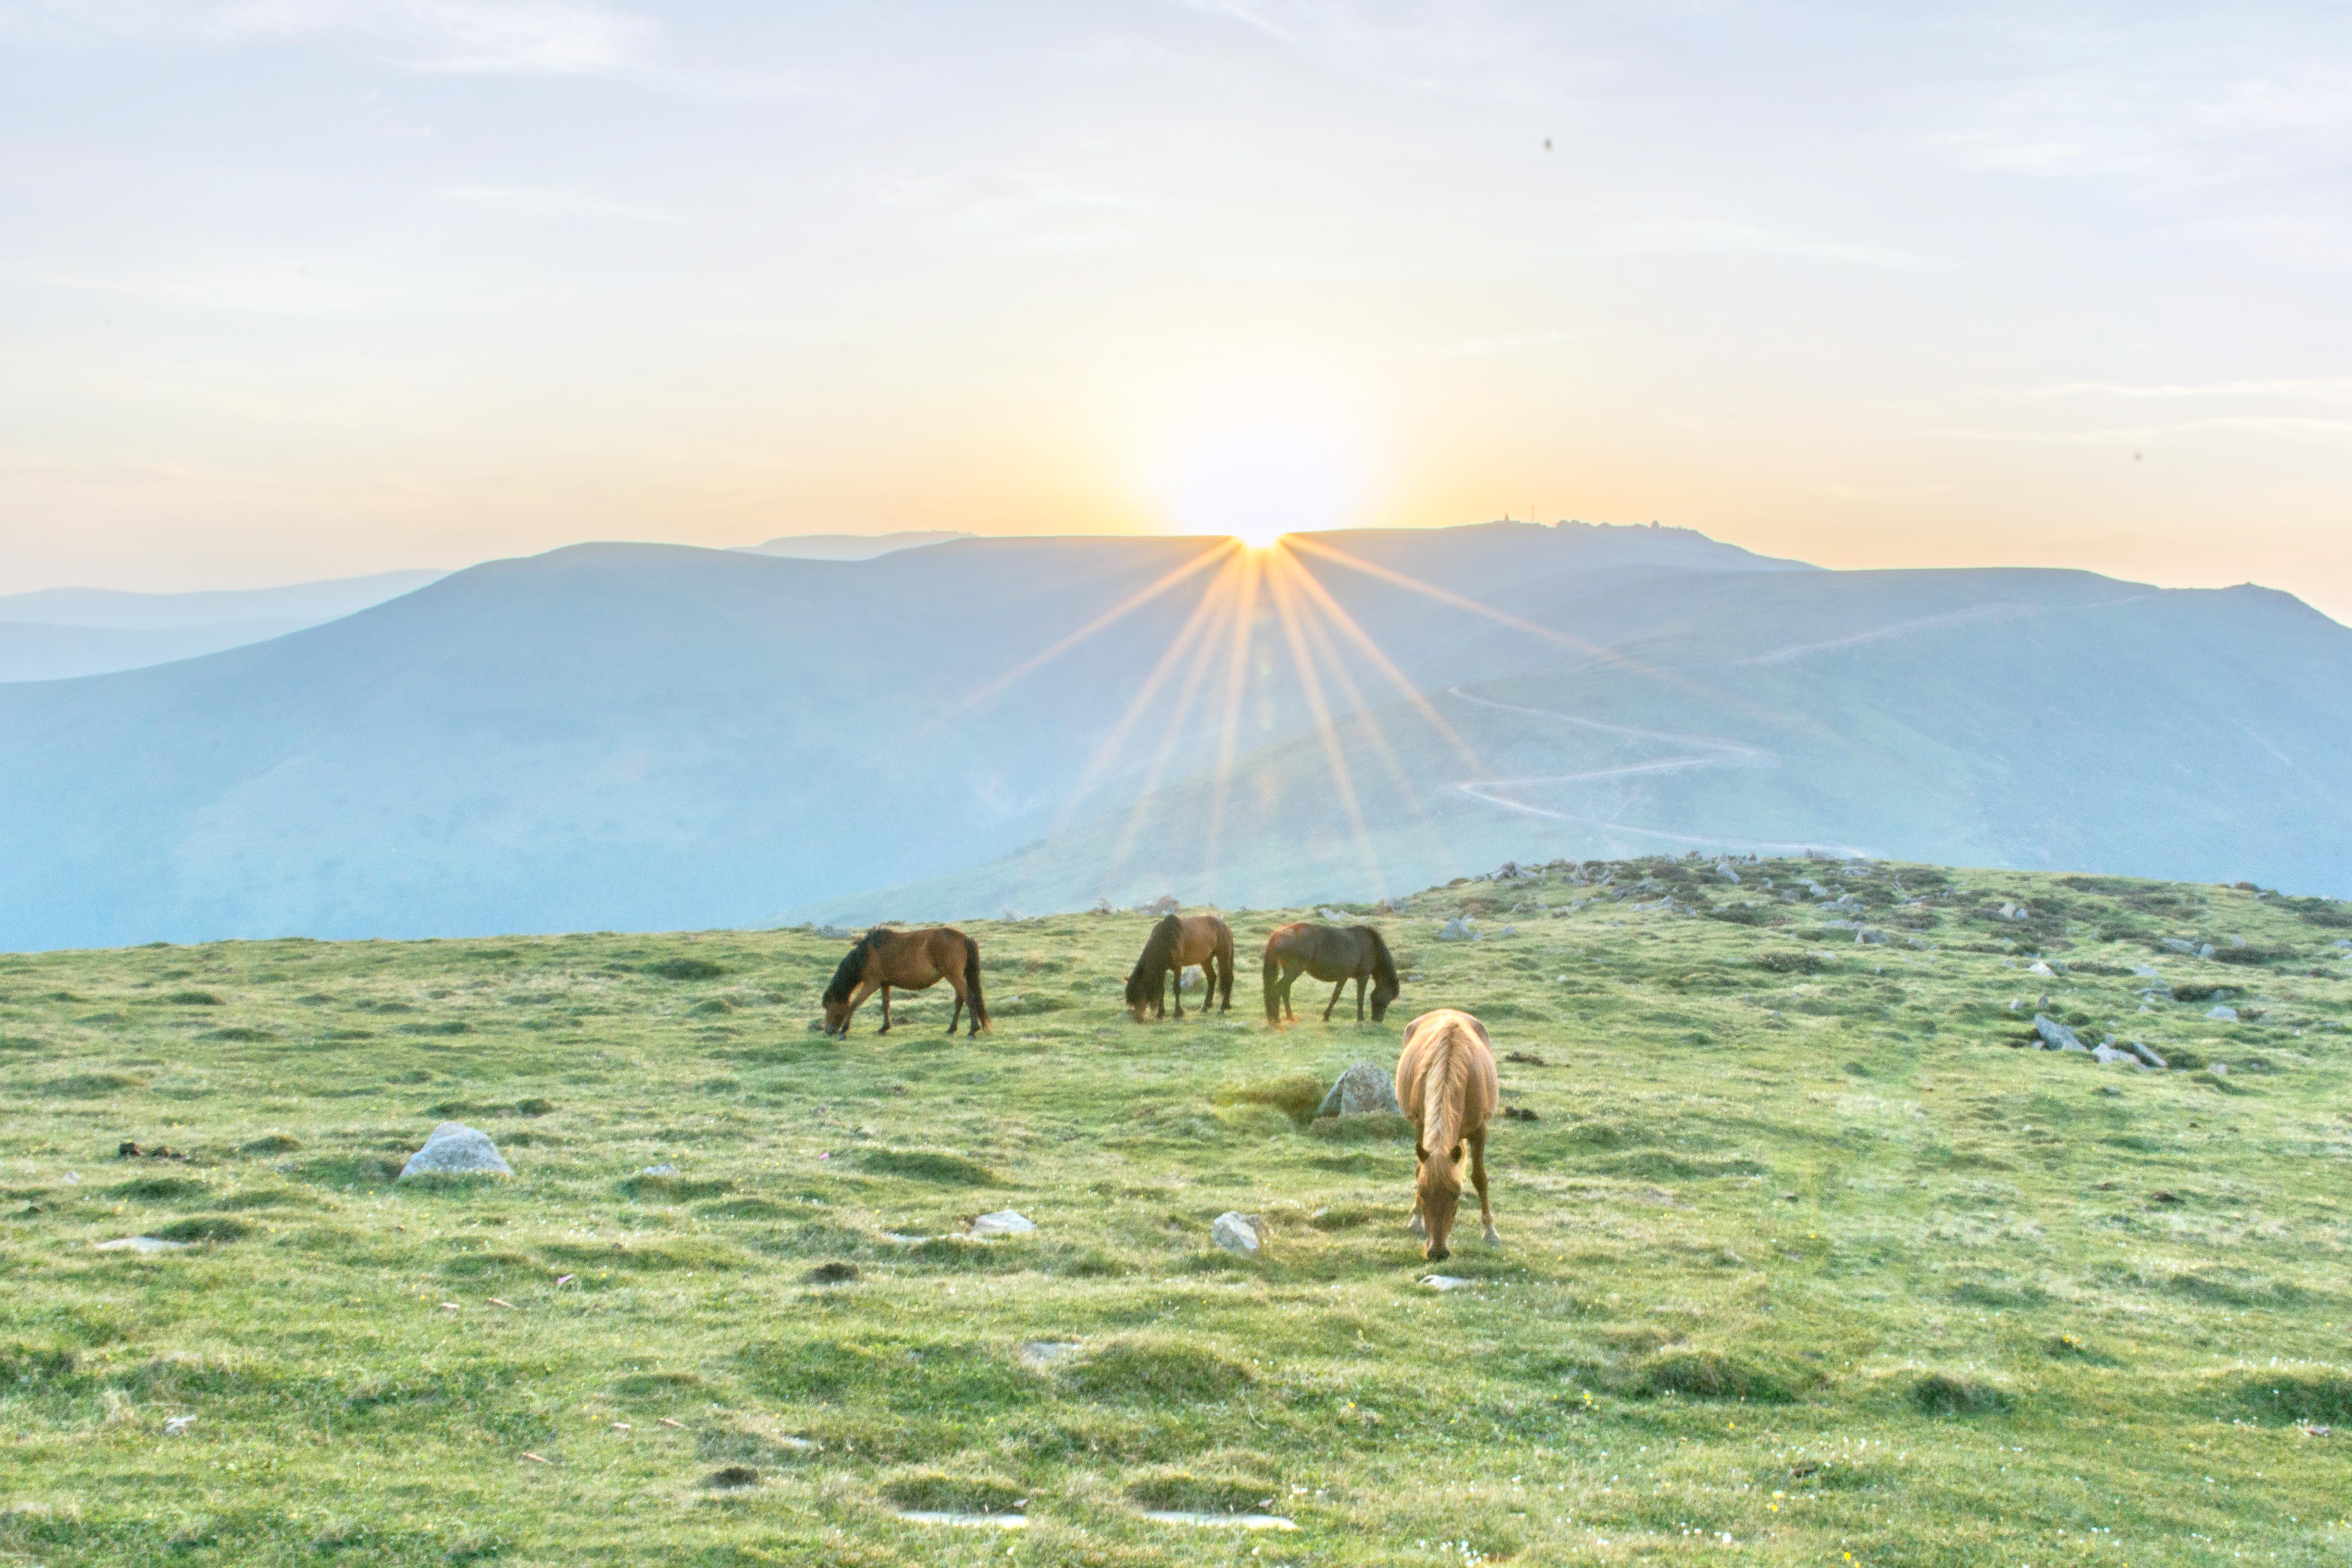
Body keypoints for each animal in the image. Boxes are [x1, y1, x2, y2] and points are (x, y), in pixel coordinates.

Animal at [823, 921, 988, 1044]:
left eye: (828, 1005)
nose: (829, 1031)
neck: (868, 954)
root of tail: (965, 938)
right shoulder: (885, 983)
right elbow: (885, 1005)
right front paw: (884, 1028)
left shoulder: (872, 983)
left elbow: (854, 1004)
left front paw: (844, 1031)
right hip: (957, 977)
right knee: (961, 1000)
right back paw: (952, 1029)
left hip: (953, 976)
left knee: (969, 998)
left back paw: (973, 1030)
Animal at [1124, 912, 1242, 1025]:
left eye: (1140, 993)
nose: (1138, 1019)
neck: (1166, 939)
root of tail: (1226, 927)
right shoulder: (1163, 970)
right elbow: (1162, 990)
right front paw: (1160, 1014)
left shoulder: (1177, 967)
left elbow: (1176, 989)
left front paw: (1178, 1013)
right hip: (1206, 960)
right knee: (1212, 978)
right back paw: (1205, 1007)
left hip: (1223, 957)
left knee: (1229, 979)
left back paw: (1223, 1007)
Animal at [1270, 921, 1392, 1030]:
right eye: (1387, 999)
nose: (1378, 1020)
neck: (1372, 946)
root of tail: (1278, 935)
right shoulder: (1362, 977)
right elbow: (1357, 998)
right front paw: (1360, 1019)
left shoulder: (1344, 977)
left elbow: (1336, 996)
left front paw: (1326, 1017)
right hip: (1294, 971)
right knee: (1278, 989)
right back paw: (1276, 1019)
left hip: (1288, 970)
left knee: (1285, 991)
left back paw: (1289, 1017)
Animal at [1383, 1011, 1496, 1269]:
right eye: (1423, 1193)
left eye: (1456, 1196)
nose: (1437, 1253)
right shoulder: (1421, 1124)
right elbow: (1419, 1171)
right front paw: (1417, 1220)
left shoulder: (1480, 1131)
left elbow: (1480, 1179)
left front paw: (1490, 1231)